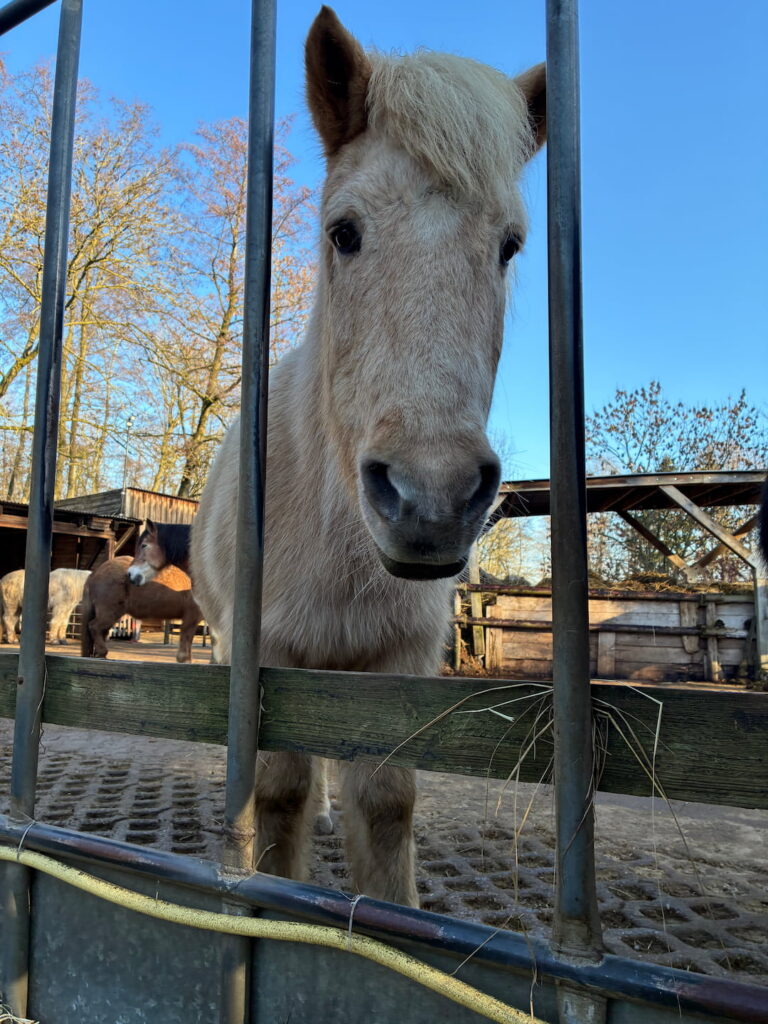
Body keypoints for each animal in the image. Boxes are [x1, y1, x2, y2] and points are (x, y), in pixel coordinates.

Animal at [191, 7, 546, 907]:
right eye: (343, 233)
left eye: (510, 246)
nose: (432, 498)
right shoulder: (268, 653)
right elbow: (276, 791)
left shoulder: (397, 664)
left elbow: (385, 802)